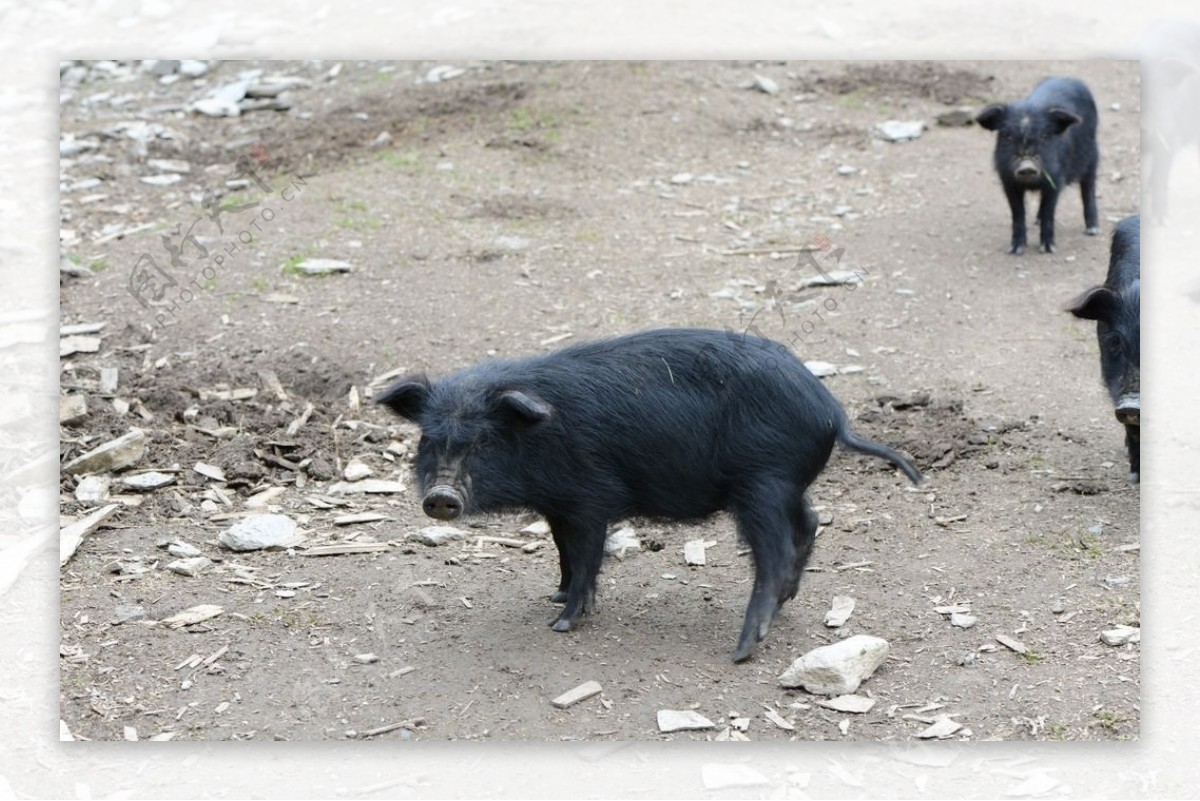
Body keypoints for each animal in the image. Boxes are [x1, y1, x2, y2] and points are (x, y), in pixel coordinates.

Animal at [379, 326, 921, 661]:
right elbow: (563, 553)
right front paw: (554, 594)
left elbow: (587, 556)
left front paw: (562, 623)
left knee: (775, 552)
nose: (441, 496)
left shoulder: (591, 498)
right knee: (809, 522)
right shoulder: (558, 505)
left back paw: (742, 650)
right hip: (784, 484)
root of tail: (832, 412)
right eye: (428, 438)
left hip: (762, 482)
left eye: (486, 441)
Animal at [974, 76, 1099, 255]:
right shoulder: (1008, 181)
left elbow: (1049, 211)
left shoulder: (1056, 179)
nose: (1027, 165)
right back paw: (1036, 221)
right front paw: (1016, 250)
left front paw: (1048, 249)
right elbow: (1018, 213)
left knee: (1088, 187)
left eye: (1044, 135)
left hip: (1093, 155)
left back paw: (1092, 230)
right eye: (1007, 135)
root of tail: (1069, 78)